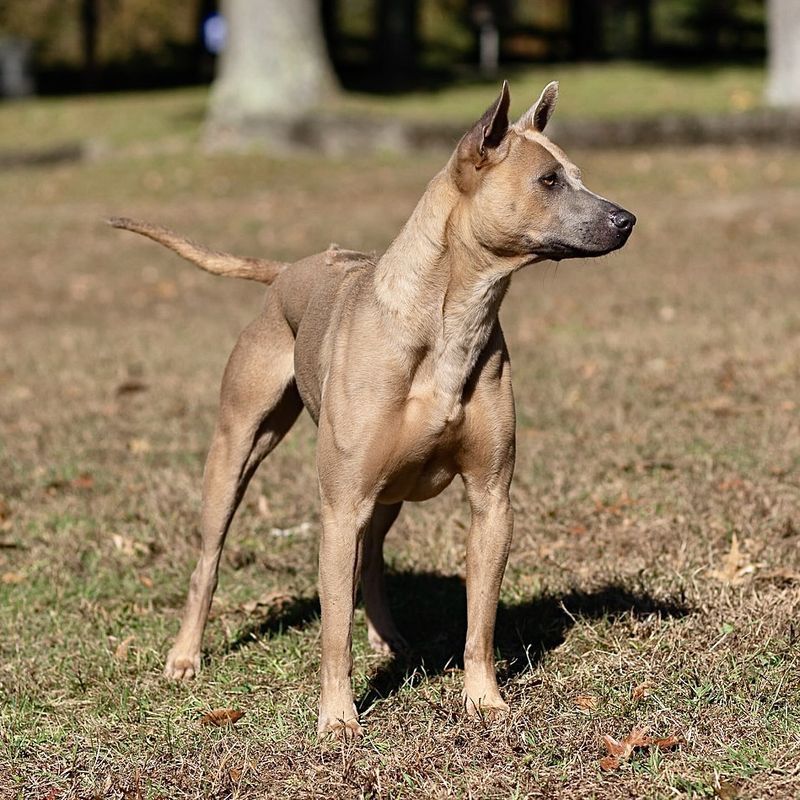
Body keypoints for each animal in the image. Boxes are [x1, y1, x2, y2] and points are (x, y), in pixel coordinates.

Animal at [111, 81, 636, 736]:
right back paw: (186, 656)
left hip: (391, 490)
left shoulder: (493, 501)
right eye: (548, 180)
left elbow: (480, 621)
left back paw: (388, 638)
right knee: (210, 557)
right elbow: (334, 629)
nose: (627, 219)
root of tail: (287, 271)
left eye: (577, 175)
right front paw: (338, 720)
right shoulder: (340, 507)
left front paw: (484, 700)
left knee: (375, 560)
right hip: (237, 452)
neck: (449, 321)